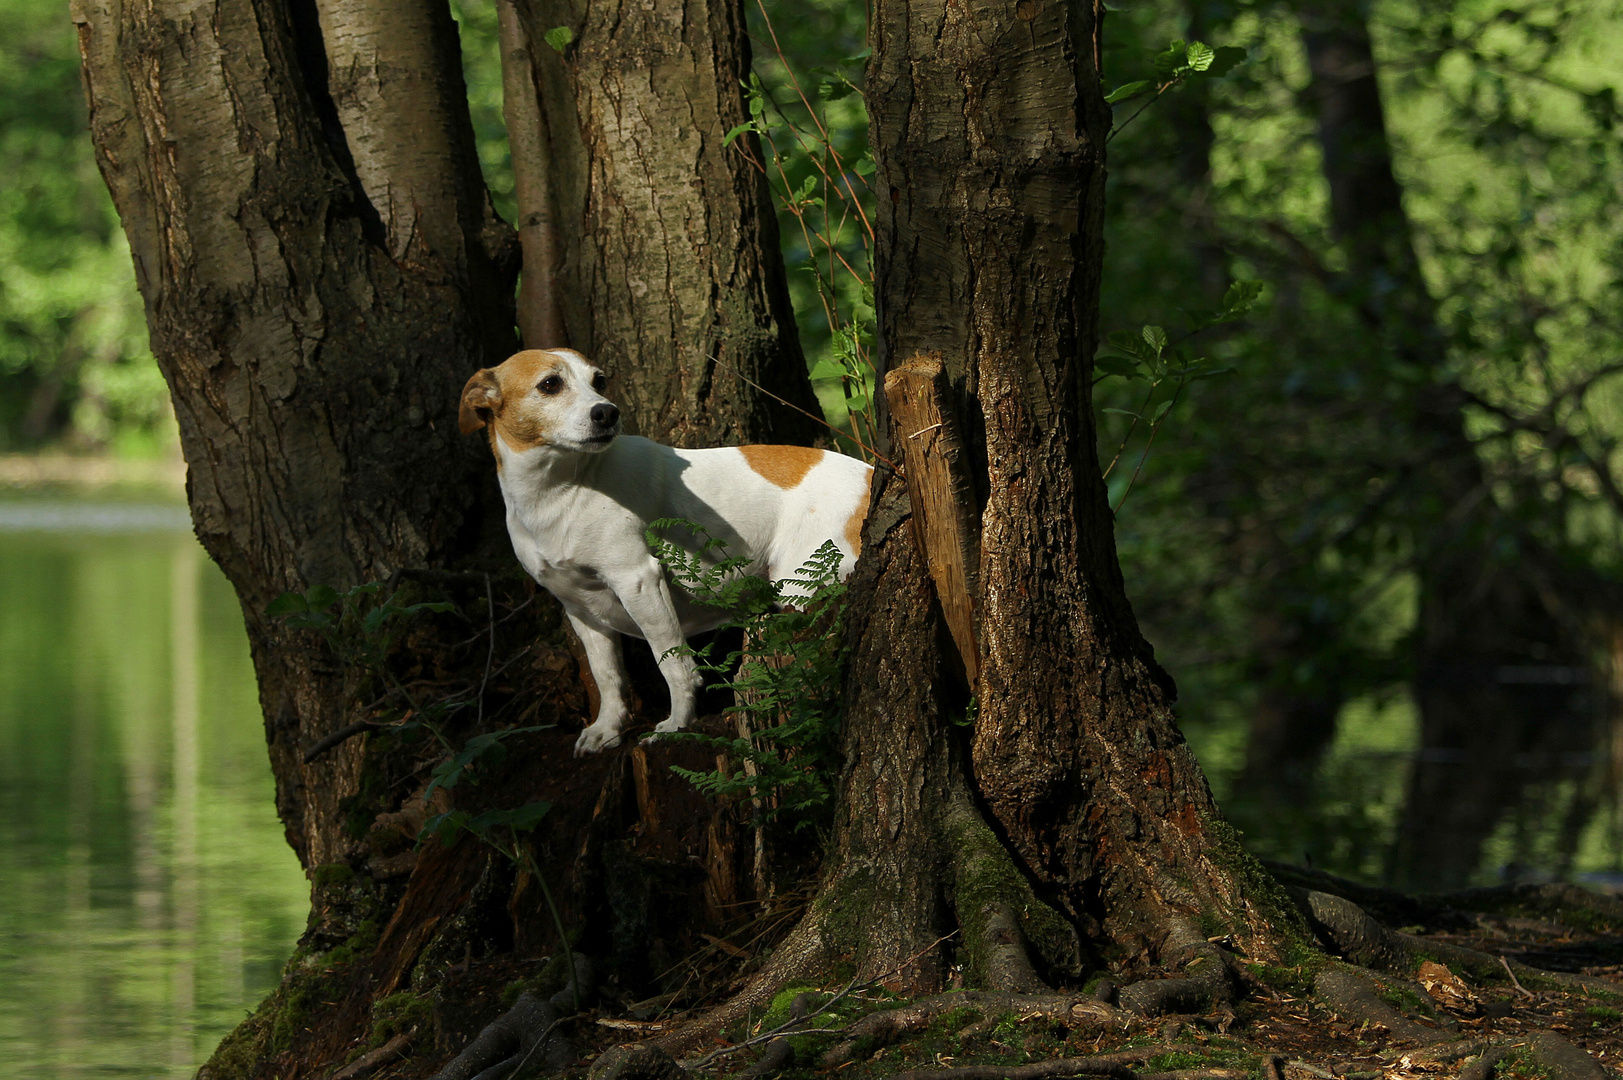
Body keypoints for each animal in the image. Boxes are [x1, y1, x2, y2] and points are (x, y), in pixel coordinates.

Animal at [460, 349, 876, 753]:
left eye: (599, 381)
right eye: (550, 384)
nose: (607, 412)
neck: (560, 490)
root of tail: (873, 473)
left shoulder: (639, 582)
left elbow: (675, 666)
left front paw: (677, 725)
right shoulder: (582, 611)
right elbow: (607, 676)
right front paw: (607, 730)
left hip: (799, 589)